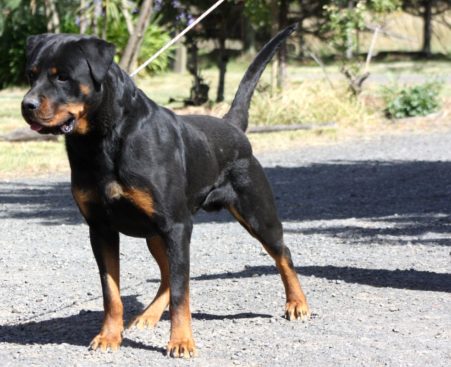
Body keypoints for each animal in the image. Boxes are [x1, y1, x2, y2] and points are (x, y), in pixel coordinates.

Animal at [22, 25, 310, 360]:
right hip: (154, 234)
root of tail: (233, 127)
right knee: (166, 275)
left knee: (282, 253)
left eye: (63, 77)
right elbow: (111, 291)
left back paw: (297, 303)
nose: (26, 105)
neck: (103, 137)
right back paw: (148, 315)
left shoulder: (177, 226)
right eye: (31, 75)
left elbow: (181, 293)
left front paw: (181, 341)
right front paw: (109, 336)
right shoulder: (101, 228)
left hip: (255, 213)